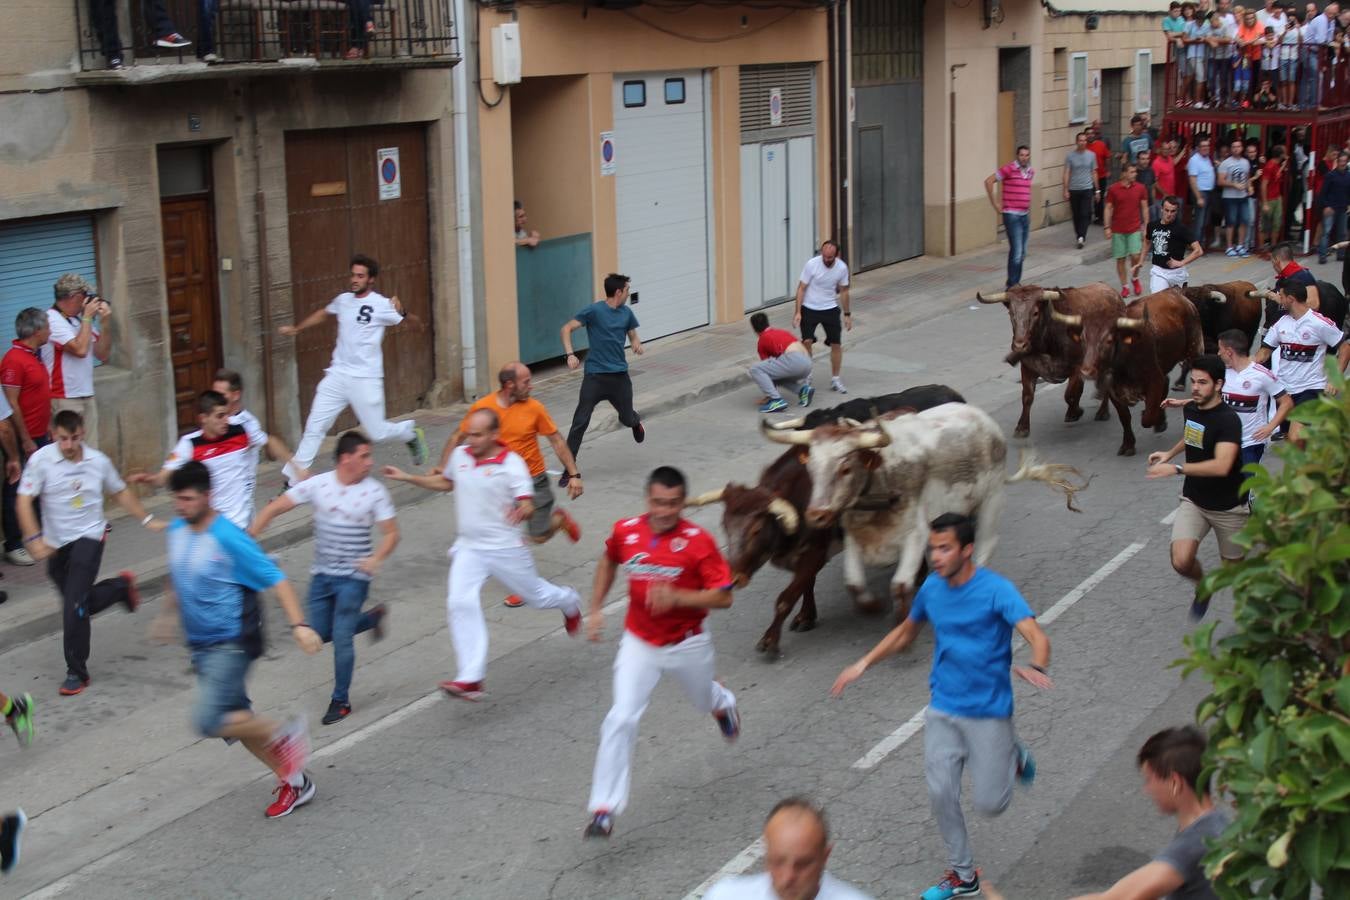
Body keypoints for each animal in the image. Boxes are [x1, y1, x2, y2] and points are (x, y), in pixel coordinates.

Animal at [761, 402, 1085, 620]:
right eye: (811, 467)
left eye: (845, 468)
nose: (817, 514)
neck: (881, 477)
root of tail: (981, 418)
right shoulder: (856, 538)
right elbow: (854, 584)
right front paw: (872, 606)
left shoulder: (914, 534)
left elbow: (900, 585)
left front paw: (902, 616)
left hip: (992, 499)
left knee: (984, 546)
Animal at [977, 282, 1123, 437]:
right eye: (1011, 313)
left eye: (1035, 313)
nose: (1019, 345)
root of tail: (1111, 291)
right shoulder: (1028, 367)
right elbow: (1027, 396)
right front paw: (1022, 427)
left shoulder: (1077, 368)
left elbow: (1070, 394)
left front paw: (1075, 412)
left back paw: (1103, 411)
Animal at [1074, 288, 1204, 458]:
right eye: (1084, 340)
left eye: (1108, 340)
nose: (1086, 370)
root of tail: (1177, 293)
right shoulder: (1114, 391)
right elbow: (1125, 417)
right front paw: (1128, 444)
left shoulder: (1154, 379)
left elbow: (1147, 418)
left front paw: (1155, 418)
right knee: (1166, 382)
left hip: (1194, 351)